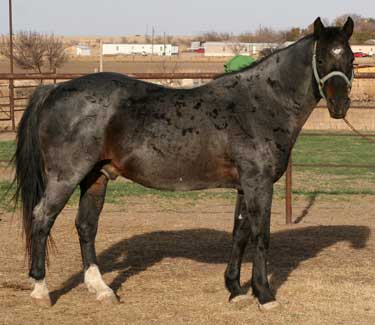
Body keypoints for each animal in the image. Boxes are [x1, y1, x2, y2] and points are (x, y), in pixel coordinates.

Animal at [13, 16, 356, 308]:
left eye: (351, 59)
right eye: (322, 59)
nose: (339, 105)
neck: (260, 104)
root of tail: (54, 89)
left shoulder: (245, 186)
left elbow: (240, 233)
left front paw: (235, 289)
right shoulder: (258, 184)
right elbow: (261, 235)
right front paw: (264, 294)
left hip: (95, 177)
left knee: (86, 226)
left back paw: (102, 290)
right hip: (66, 176)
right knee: (42, 219)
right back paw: (41, 290)